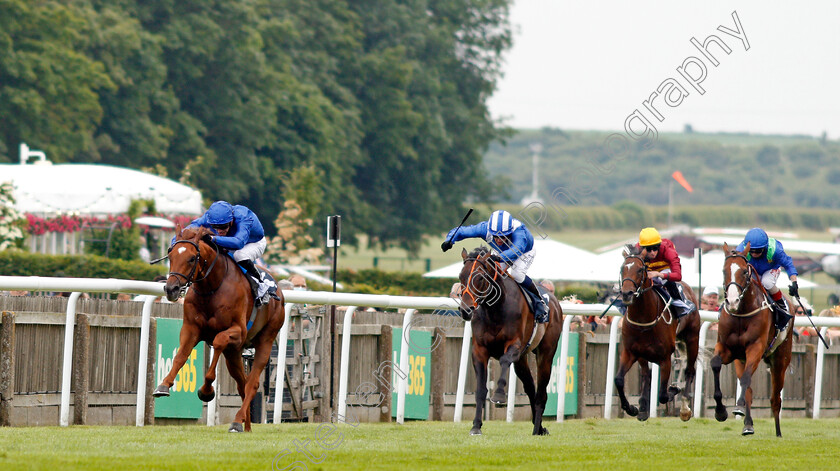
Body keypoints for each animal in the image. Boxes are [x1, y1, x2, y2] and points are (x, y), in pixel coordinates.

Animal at [156, 227, 288, 434]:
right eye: (170, 255)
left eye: (192, 258)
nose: (171, 289)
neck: (212, 287)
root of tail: (279, 291)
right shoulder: (191, 329)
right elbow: (180, 356)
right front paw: (163, 386)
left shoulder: (237, 332)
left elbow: (218, 342)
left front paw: (206, 391)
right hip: (233, 354)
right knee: (242, 383)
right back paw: (245, 425)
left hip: (266, 339)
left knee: (252, 383)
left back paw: (237, 421)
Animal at [456, 249, 560, 436]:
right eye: (461, 276)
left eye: (480, 278)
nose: (466, 310)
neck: (495, 309)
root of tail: (555, 301)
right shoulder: (479, 350)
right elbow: (480, 390)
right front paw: (476, 426)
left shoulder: (514, 345)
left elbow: (504, 360)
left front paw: (498, 396)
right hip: (522, 360)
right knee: (530, 387)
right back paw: (539, 426)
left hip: (546, 354)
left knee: (541, 392)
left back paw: (537, 428)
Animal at [616, 245, 704, 422]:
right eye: (622, 268)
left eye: (640, 269)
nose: (627, 294)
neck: (644, 317)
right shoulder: (630, 352)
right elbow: (619, 380)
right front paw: (632, 408)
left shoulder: (665, 358)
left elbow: (663, 394)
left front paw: (674, 390)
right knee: (646, 374)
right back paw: (643, 408)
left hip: (692, 338)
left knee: (690, 371)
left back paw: (684, 408)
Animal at [712, 245, 792, 436]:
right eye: (724, 270)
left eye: (743, 271)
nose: (732, 301)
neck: (741, 313)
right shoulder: (727, 349)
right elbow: (715, 364)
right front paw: (720, 411)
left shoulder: (755, 348)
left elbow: (746, 379)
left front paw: (737, 406)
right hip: (741, 360)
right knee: (748, 388)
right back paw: (747, 424)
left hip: (780, 360)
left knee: (775, 398)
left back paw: (778, 432)